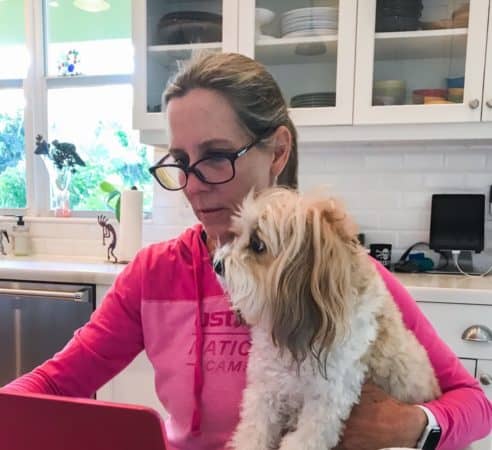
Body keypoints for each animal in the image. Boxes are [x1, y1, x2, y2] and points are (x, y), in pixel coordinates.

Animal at [213, 187, 440, 450]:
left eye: (257, 244)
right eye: (237, 235)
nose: (216, 263)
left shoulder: (325, 406)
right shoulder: (265, 394)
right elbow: (252, 434)